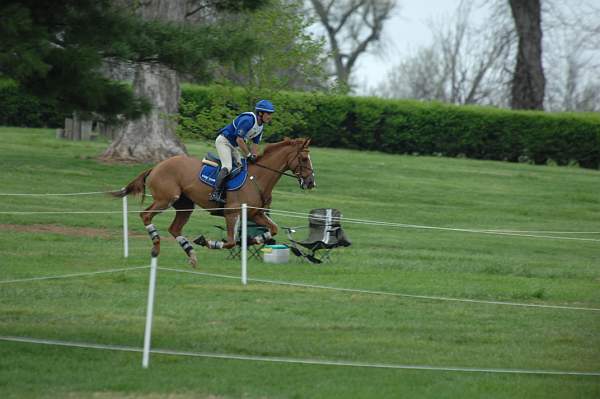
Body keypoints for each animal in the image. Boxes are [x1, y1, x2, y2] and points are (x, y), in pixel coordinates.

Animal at [111, 138, 314, 268]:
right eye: (304, 159)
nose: (311, 183)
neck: (257, 177)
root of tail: (156, 166)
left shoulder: (255, 213)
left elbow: (272, 229)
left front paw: (251, 240)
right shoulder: (232, 213)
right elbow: (230, 242)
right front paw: (207, 242)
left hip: (185, 205)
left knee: (174, 229)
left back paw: (191, 255)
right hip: (166, 199)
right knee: (146, 215)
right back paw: (156, 246)